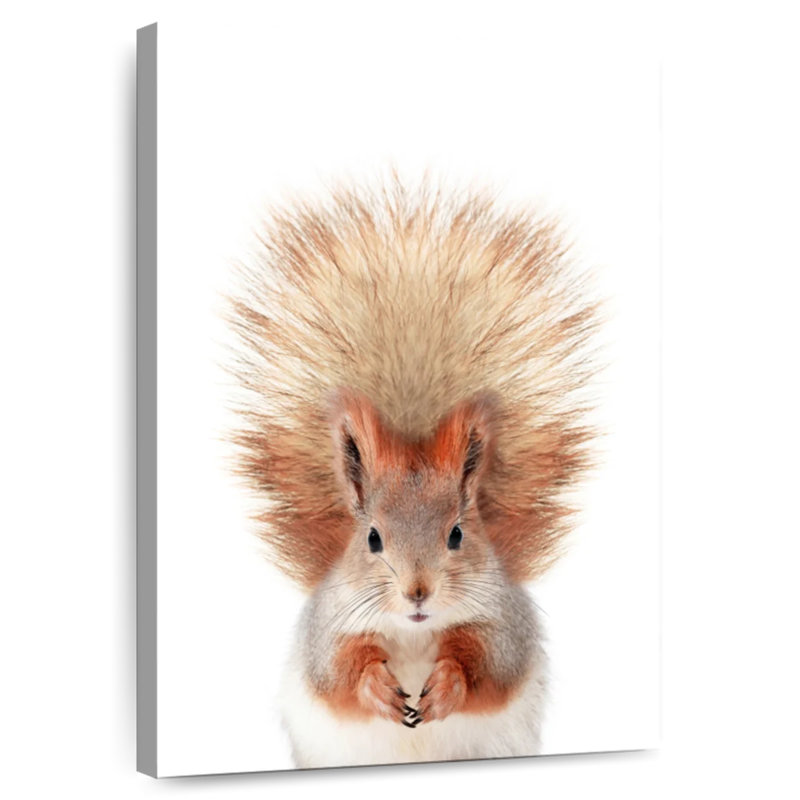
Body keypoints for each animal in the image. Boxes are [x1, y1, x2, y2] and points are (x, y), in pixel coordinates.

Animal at [227, 176, 598, 768]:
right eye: (372, 539)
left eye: (458, 534)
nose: (417, 592)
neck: (414, 634)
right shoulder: (329, 628)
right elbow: (338, 672)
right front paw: (376, 686)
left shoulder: (503, 625)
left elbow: (489, 666)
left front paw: (447, 685)